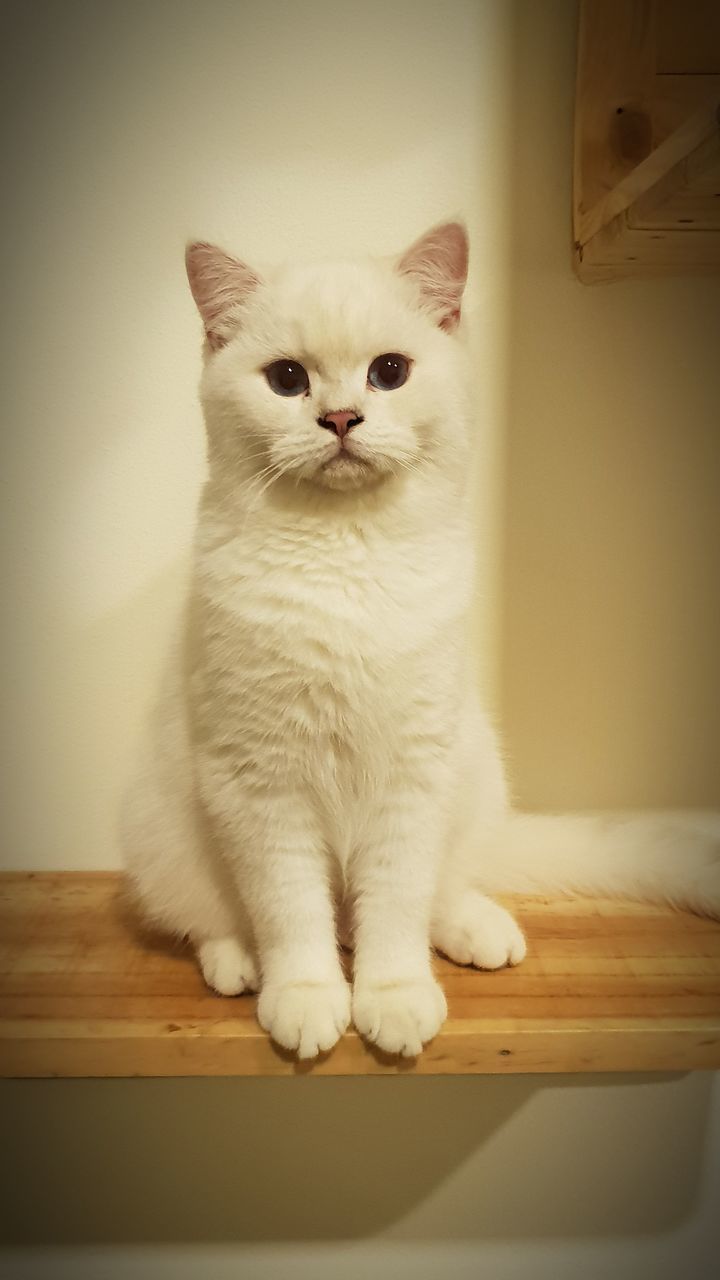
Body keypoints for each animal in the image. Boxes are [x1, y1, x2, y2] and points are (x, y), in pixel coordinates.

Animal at [121, 222, 717, 1059]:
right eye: (286, 379)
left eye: (389, 373)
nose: (340, 418)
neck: (347, 558)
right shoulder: (262, 785)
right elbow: (291, 914)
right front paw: (307, 1001)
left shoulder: (413, 776)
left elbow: (397, 909)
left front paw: (394, 1000)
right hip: (160, 832)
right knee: (219, 920)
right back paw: (240, 964)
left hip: (472, 769)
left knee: (439, 893)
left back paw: (479, 930)